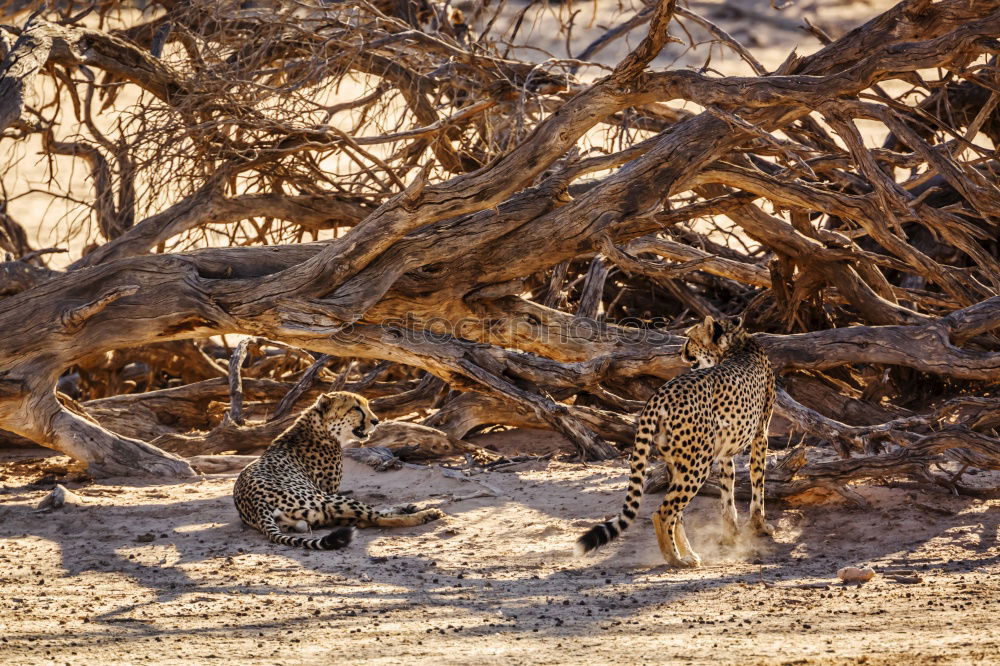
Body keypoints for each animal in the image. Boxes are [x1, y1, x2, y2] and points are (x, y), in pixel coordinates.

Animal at [235, 386, 446, 548]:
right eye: (356, 408)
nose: (376, 421)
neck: (321, 428)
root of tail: (257, 505)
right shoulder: (329, 490)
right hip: (327, 499)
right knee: (374, 518)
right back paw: (425, 515)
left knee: (366, 518)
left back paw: (408, 508)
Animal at [576, 316, 776, 564]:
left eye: (690, 338)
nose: (680, 352)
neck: (735, 345)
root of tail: (661, 393)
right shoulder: (761, 436)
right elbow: (758, 484)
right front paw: (759, 526)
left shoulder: (725, 451)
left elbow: (727, 495)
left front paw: (732, 535)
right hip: (697, 464)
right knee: (662, 513)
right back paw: (674, 559)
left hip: (678, 462)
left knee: (676, 515)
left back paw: (688, 554)